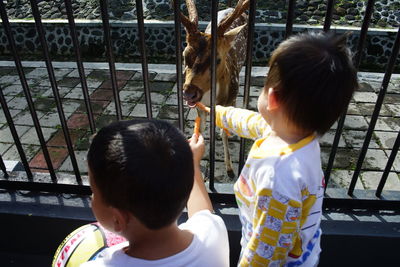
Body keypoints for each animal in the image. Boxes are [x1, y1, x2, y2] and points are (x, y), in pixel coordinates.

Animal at [179, 0, 250, 180]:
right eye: (184, 55)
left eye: (217, 59)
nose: (189, 93)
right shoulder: (199, 106)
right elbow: (202, 127)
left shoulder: (230, 100)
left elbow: (224, 131)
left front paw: (230, 169)